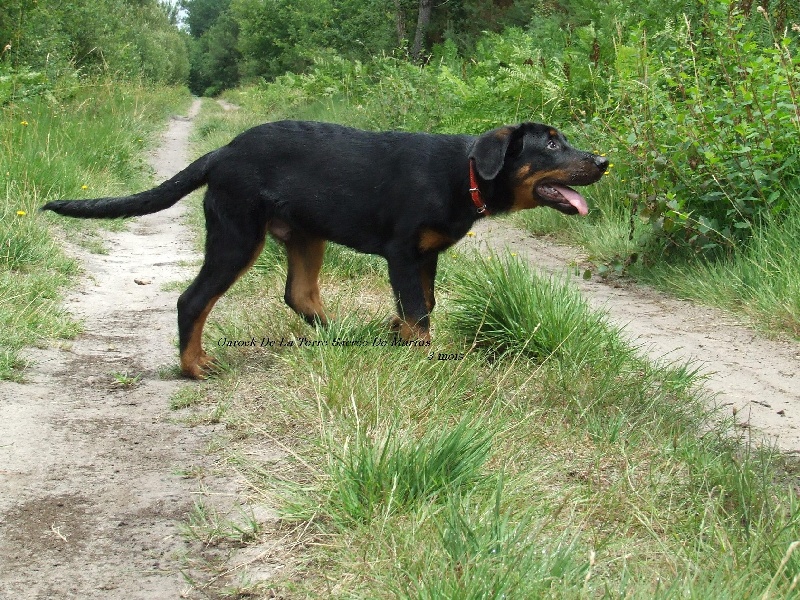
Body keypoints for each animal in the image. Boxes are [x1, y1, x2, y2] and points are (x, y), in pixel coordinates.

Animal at [42, 119, 608, 378]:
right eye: (550, 144)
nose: (603, 161)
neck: (463, 173)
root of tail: (222, 152)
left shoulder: (426, 257)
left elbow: (421, 308)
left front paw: (397, 339)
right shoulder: (403, 254)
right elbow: (420, 315)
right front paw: (423, 361)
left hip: (304, 236)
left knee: (299, 294)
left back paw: (338, 340)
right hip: (236, 235)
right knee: (193, 299)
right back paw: (195, 366)